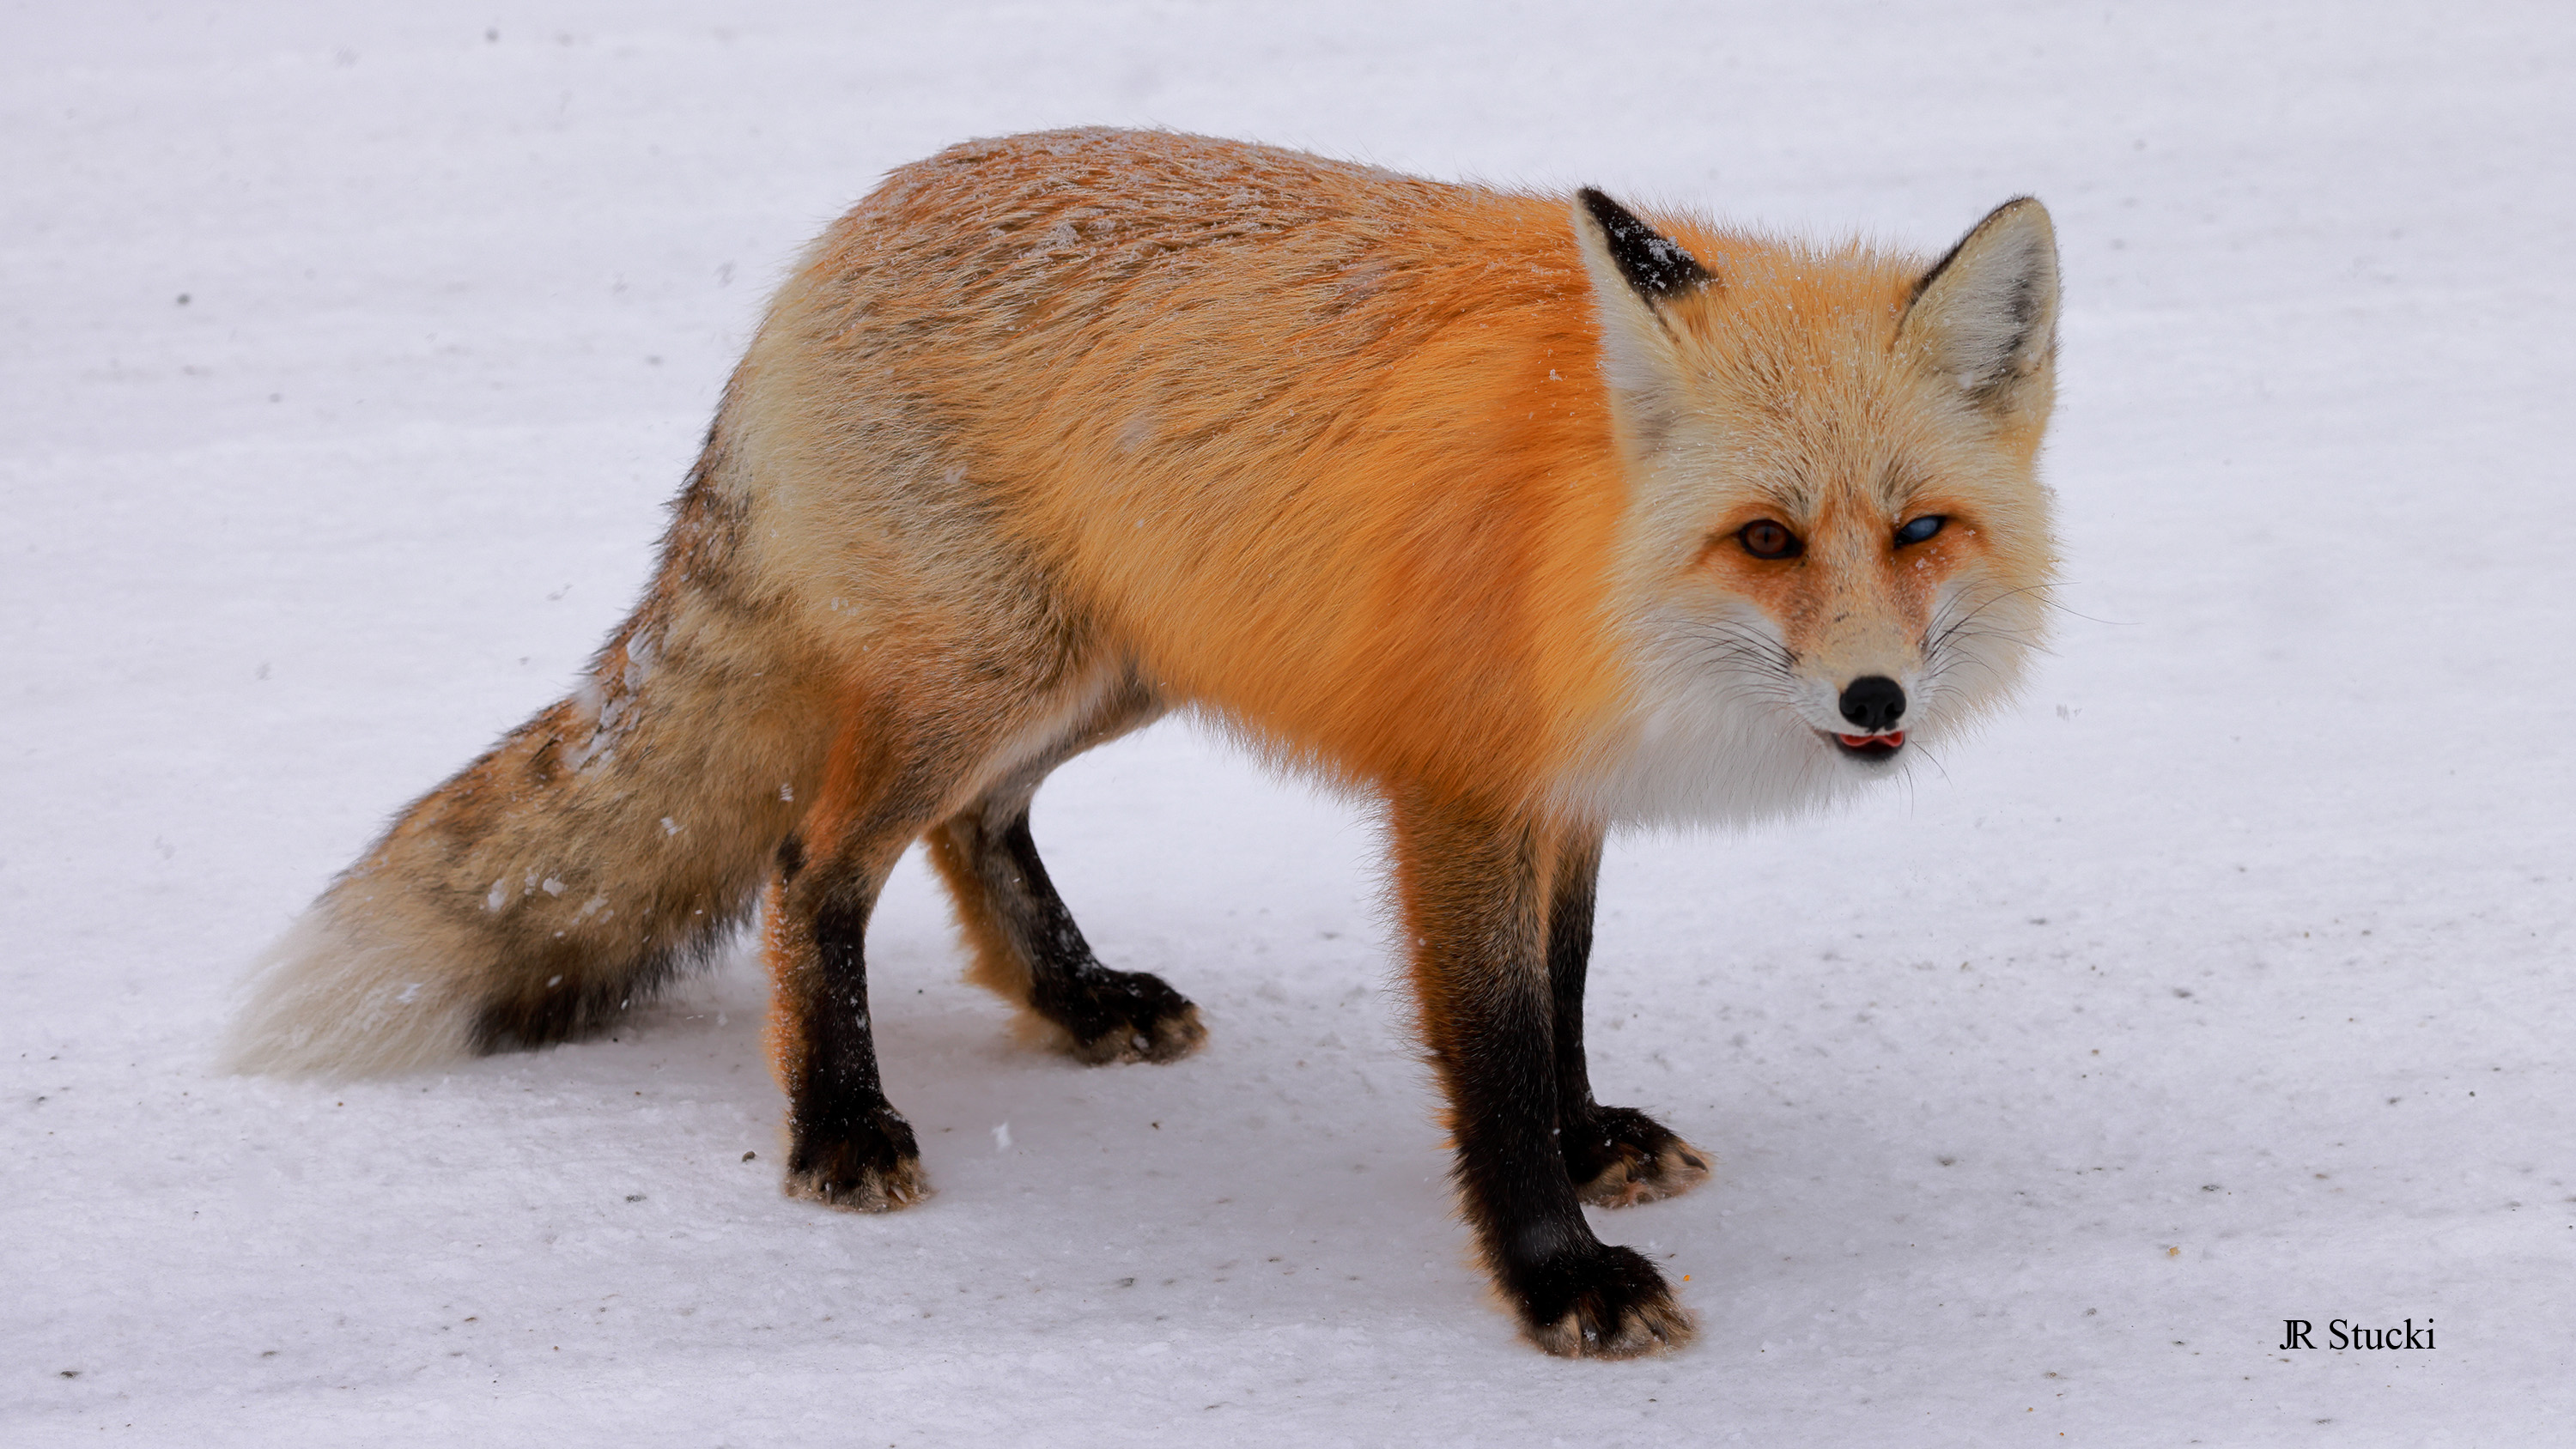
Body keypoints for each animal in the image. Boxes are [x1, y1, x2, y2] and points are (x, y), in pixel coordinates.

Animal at [225, 127, 2059, 1358]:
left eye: (1920, 529)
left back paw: (1074, 995)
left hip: (1113, 662)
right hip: (996, 670)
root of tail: (842, 229)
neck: (1587, 535)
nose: (1875, 700)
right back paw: (840, 1125)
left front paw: (1594, 1132)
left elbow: (1566, 994)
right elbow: (1495, 1050)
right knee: (812, 864)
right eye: (1766, 539)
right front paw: (1556, 1271)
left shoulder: (1566, 798)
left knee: (972, 828)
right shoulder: (1460, 793)